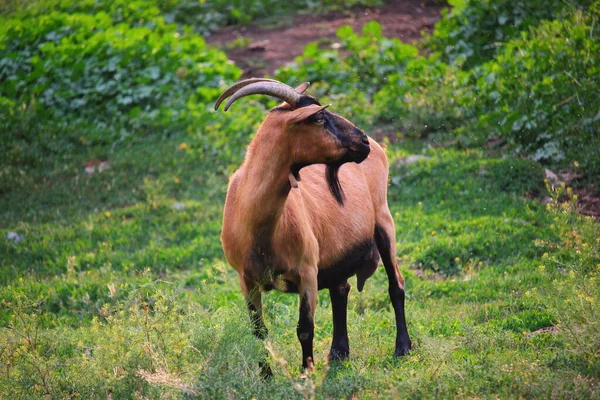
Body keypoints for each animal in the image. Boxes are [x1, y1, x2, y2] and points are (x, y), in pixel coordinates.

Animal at [217, 79, 412, 376]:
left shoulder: (307, 271)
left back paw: (402, 348)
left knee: (396, 285)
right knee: (341, 290)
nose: (363, 141)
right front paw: (265, 375)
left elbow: (304, 329)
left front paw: (306, 372)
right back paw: (339, 353)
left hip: (384, 221)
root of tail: (381, 149)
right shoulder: (245, 278)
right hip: (337, 251)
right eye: (319, 118)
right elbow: (258, 330)